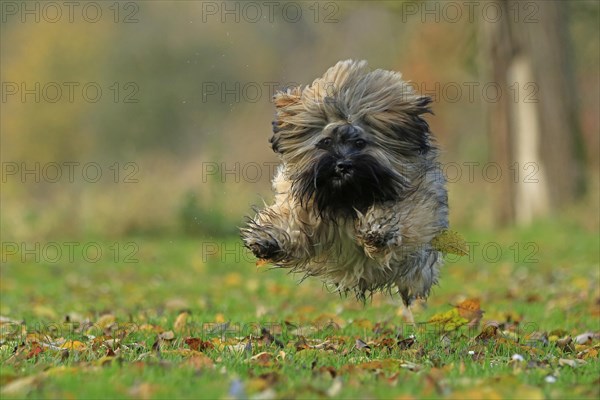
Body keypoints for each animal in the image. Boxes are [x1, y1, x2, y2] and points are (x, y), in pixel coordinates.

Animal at [241, 60, 448, 310]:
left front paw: (378, 228)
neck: (347, 199)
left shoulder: (417, 206)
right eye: (325, 142)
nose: (343, 165)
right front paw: (268, 238)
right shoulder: (304, 209)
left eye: (359, 143)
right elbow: (291, 222)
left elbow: (402, 217)